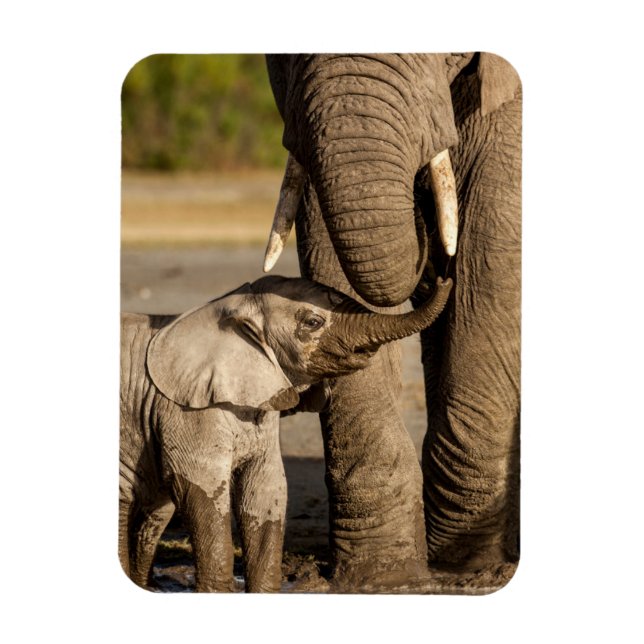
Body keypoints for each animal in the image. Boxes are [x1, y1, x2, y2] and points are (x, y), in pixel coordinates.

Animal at [119, 273, 452, 592]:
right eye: (313, 322)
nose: (441, 280)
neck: (230, 308)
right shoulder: (187, 411)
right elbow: (202, 490)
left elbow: (266, 491)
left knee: (155, 511)